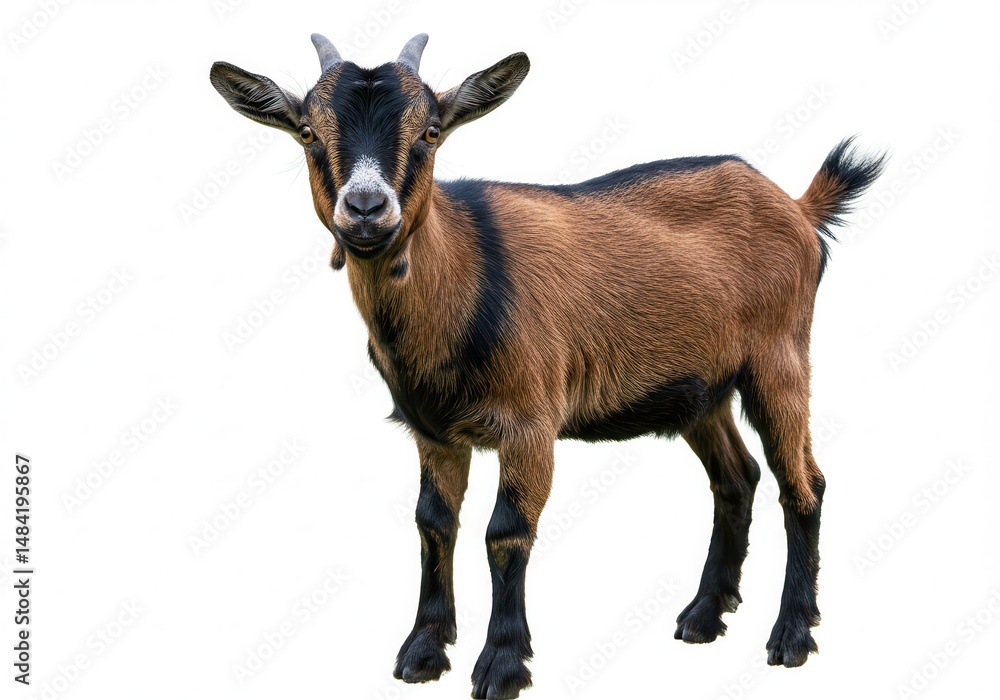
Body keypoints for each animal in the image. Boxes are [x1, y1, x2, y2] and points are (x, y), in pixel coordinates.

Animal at [210, 33, 886, 699]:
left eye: (430, 130)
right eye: (307, 132)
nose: (367, 207)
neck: (460, 278)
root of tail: (797, 207)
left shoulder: (530, 423)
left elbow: (506, 532)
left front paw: (503, 664)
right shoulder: (432, 431)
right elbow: (434, 524)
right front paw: (423, 651)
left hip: (779, 357)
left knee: (803, 482)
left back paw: (791, 635)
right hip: (700, 388)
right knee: (736, 477)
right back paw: (702, 616)